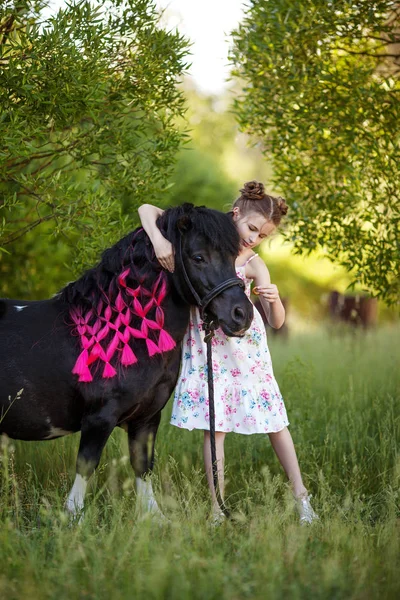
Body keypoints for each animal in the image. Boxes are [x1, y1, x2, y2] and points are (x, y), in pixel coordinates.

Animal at [0, 205, 252, 516]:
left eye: (232, 256)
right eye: (198, 257)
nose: (242, 314)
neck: (124, 335)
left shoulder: (146, 419)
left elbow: (142, 466)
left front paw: (154, 518)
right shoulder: (99, 418)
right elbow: (86, 467)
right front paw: (72, 518)